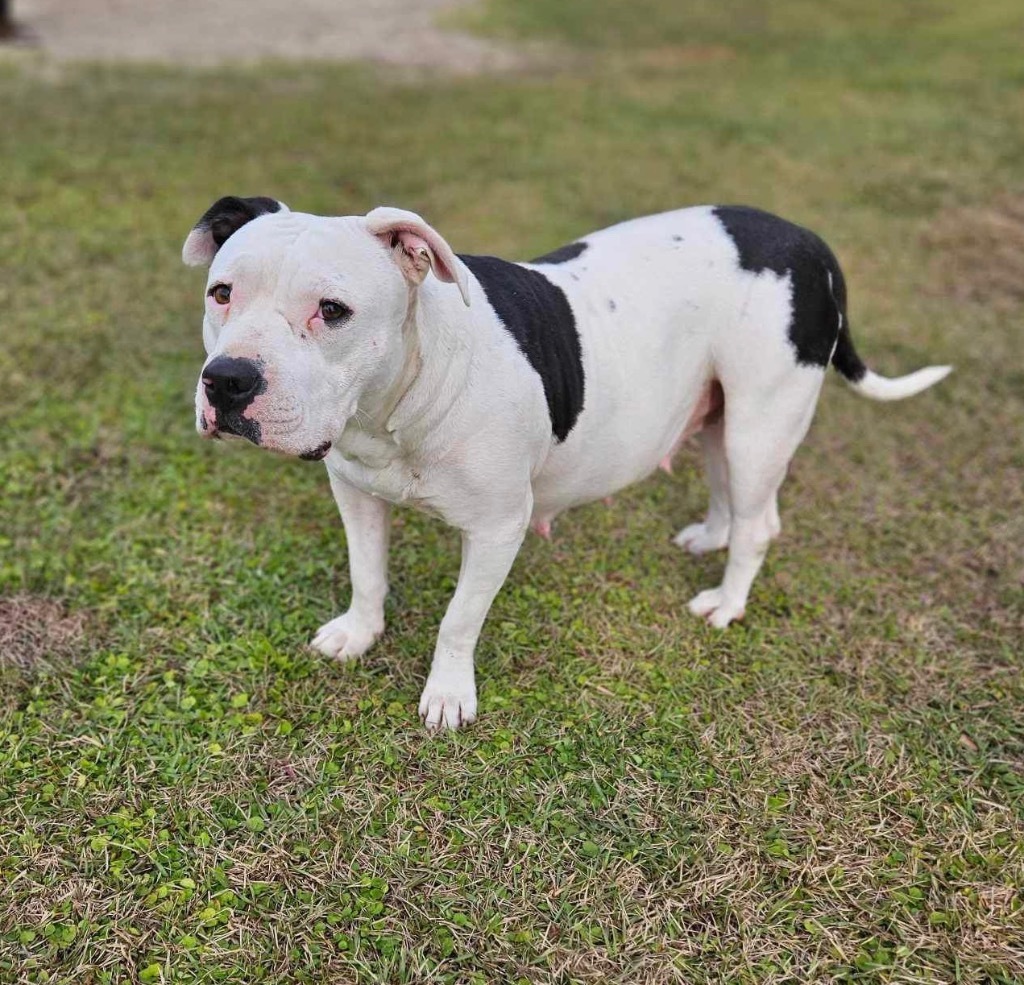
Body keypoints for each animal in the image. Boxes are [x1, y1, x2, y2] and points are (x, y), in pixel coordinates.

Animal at [182, 195, 950, 724]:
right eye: (221, 293)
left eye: (333, 310)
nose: (228, 380)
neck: (399, 404)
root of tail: (808, 241)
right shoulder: (356, 492)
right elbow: (367, 574)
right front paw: (359, 633)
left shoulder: (498, 528)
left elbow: (458, 619)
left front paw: (448, 694)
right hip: (718, 412)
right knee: (728, 489)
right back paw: (711, 536)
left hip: (763, 419)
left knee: (762, 522)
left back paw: (727, 602)